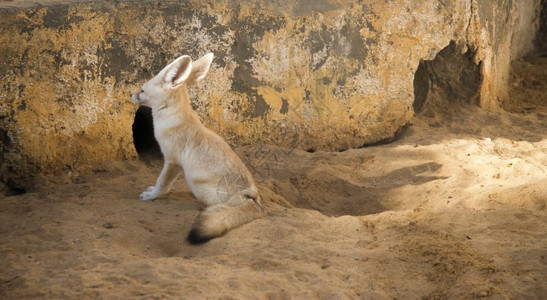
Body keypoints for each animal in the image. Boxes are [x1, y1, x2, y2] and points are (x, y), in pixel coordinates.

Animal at [131, 52, 264, 243]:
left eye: (142, 90)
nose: (130, 94)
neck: (172, 116)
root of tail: (252, 198)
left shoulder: (172, 161)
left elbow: (162, 183)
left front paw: (151, 196)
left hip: (197, 186)